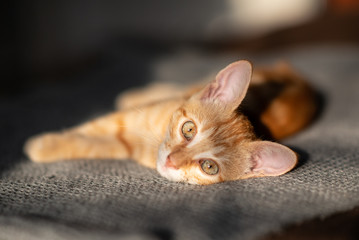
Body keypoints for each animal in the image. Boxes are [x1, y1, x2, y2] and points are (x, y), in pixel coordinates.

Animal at [24, 61, 318, 185]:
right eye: (189, 129)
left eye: (209, 166)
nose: (171, 161)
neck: (152, 136)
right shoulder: (124, 117)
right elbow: (91, 128)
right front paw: (46, 142)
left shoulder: (126, 146)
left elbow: (99, 145)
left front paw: (43, 147)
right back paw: (136, 93)